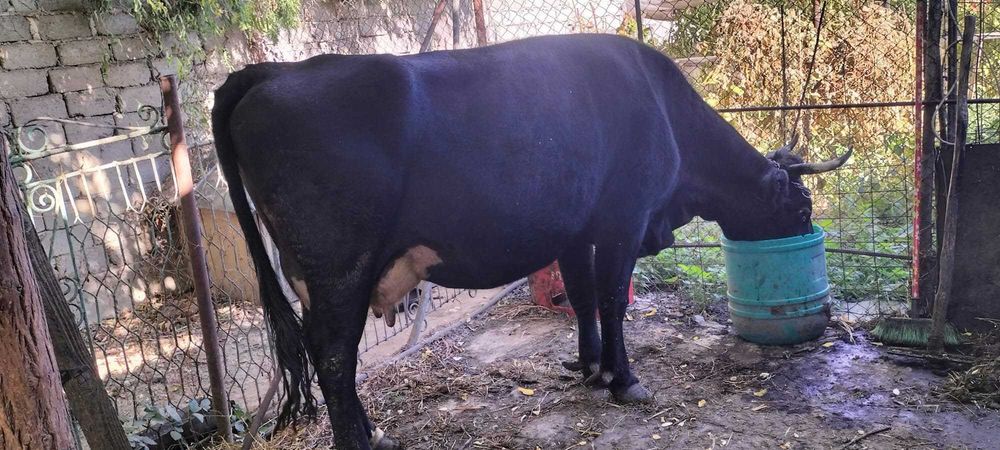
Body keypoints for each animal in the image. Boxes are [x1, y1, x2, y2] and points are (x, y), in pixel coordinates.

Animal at [211, 33, 850, 449]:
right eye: (801, 206)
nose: (805, 229)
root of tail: (270, 73)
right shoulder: (623, 219)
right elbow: (613, 299)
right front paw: (626, 381)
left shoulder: (576, 229)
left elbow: (584, 298)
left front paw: (591, 367)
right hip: (340, 267)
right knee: (333, 355)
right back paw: (361, 441)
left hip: (314, 276)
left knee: (331, 359)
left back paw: (375, 432)